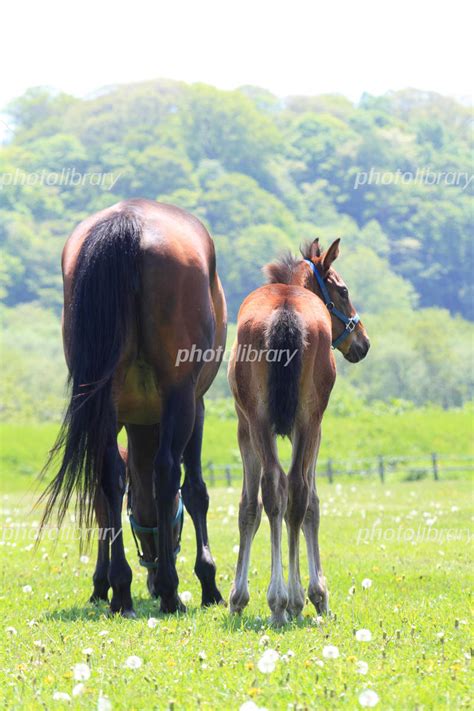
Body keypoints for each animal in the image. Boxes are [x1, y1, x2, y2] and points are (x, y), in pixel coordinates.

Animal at [40, 199, 226, 616]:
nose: (152, 576)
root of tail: (130, 222)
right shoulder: (196, 406)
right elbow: (195, 490)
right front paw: (207, 582)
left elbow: (104, 496)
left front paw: (102, 584)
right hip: (180, 396)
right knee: (167, 471)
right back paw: (172, 593)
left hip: (102, 397)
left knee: (108, 476)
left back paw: (122, 591)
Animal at [229, 238, 370, 624]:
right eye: (343, 290)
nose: (363, 343)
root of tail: (286, 311)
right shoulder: (304, 428)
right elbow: (308, 504)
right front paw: (315, 593)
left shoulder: (254, 427)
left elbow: (254, 507)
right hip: (297, 421)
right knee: (291, 491)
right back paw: (287, 599)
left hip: (267, 422)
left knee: (280, 489)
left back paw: (283, 601)